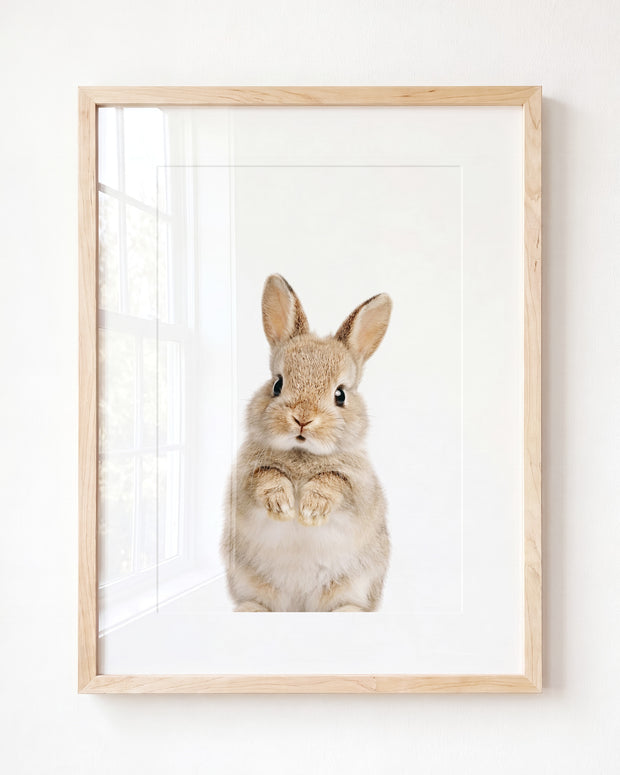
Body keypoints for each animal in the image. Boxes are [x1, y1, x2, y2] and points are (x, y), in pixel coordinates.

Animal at [221, 274, 392, 612]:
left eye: (340, 394)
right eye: (277, 384)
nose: (302, 418)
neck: (302, 453)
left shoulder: (359, 488)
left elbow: (333, 481)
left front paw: (310, 511)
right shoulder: (245, 481)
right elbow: (267, 477)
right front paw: (283, 505)